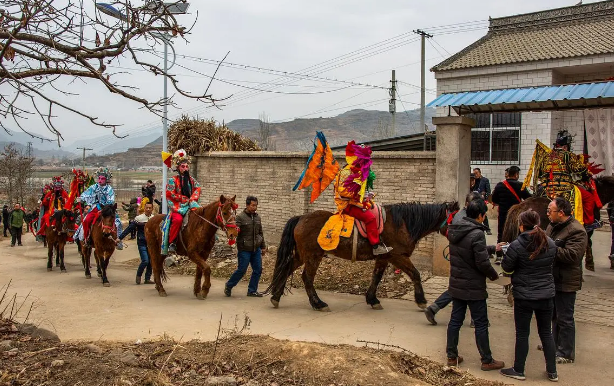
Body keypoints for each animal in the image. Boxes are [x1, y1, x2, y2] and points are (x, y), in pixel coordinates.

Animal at [268, 202, 460, 314]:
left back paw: (276, 297)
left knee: (286, 269)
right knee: (307, 278)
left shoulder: (384, 256)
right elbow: (415, 274)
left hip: (302, 255)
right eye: (457, 217)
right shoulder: (398, 256)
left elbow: (377, 276)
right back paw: (318, 303)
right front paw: (421, 301)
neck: (403, 223)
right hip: (313, 255)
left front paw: (372, 299)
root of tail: (301, 218)